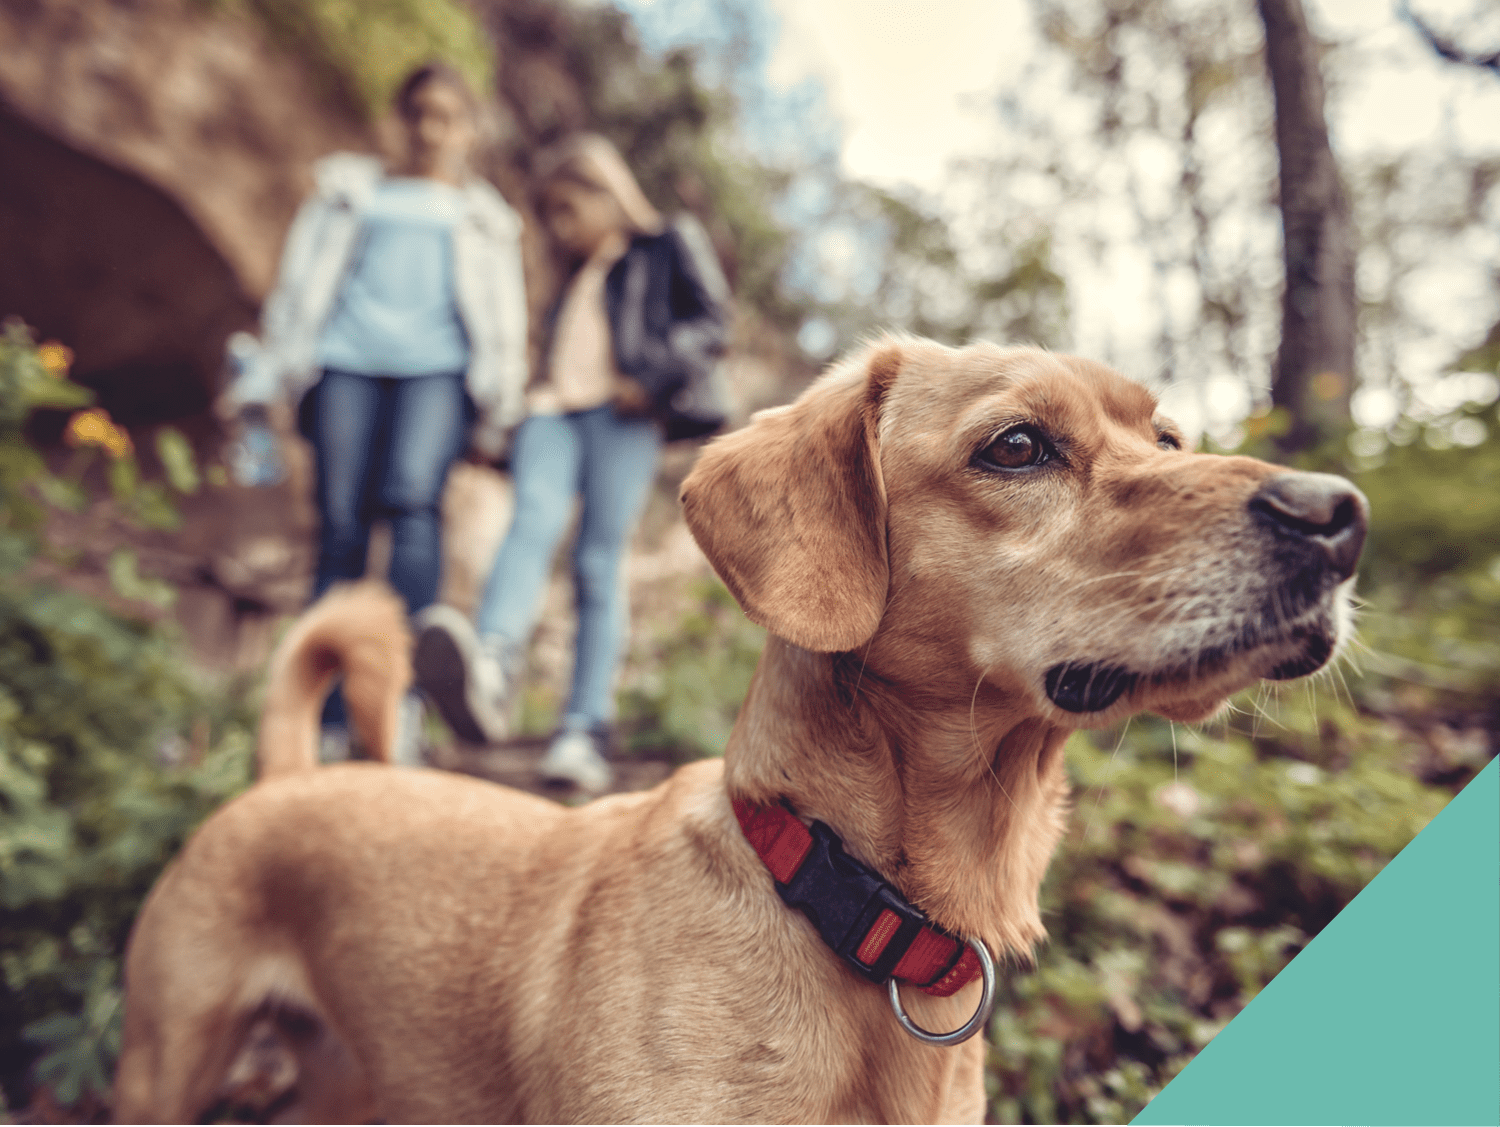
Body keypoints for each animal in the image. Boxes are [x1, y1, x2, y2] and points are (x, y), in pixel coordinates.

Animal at [111, 339, 1368, 1122]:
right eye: (1016, 445)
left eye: (1169, 436)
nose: (1339, 514)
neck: (848, 898)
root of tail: (284, 777)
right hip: (164, 1062)